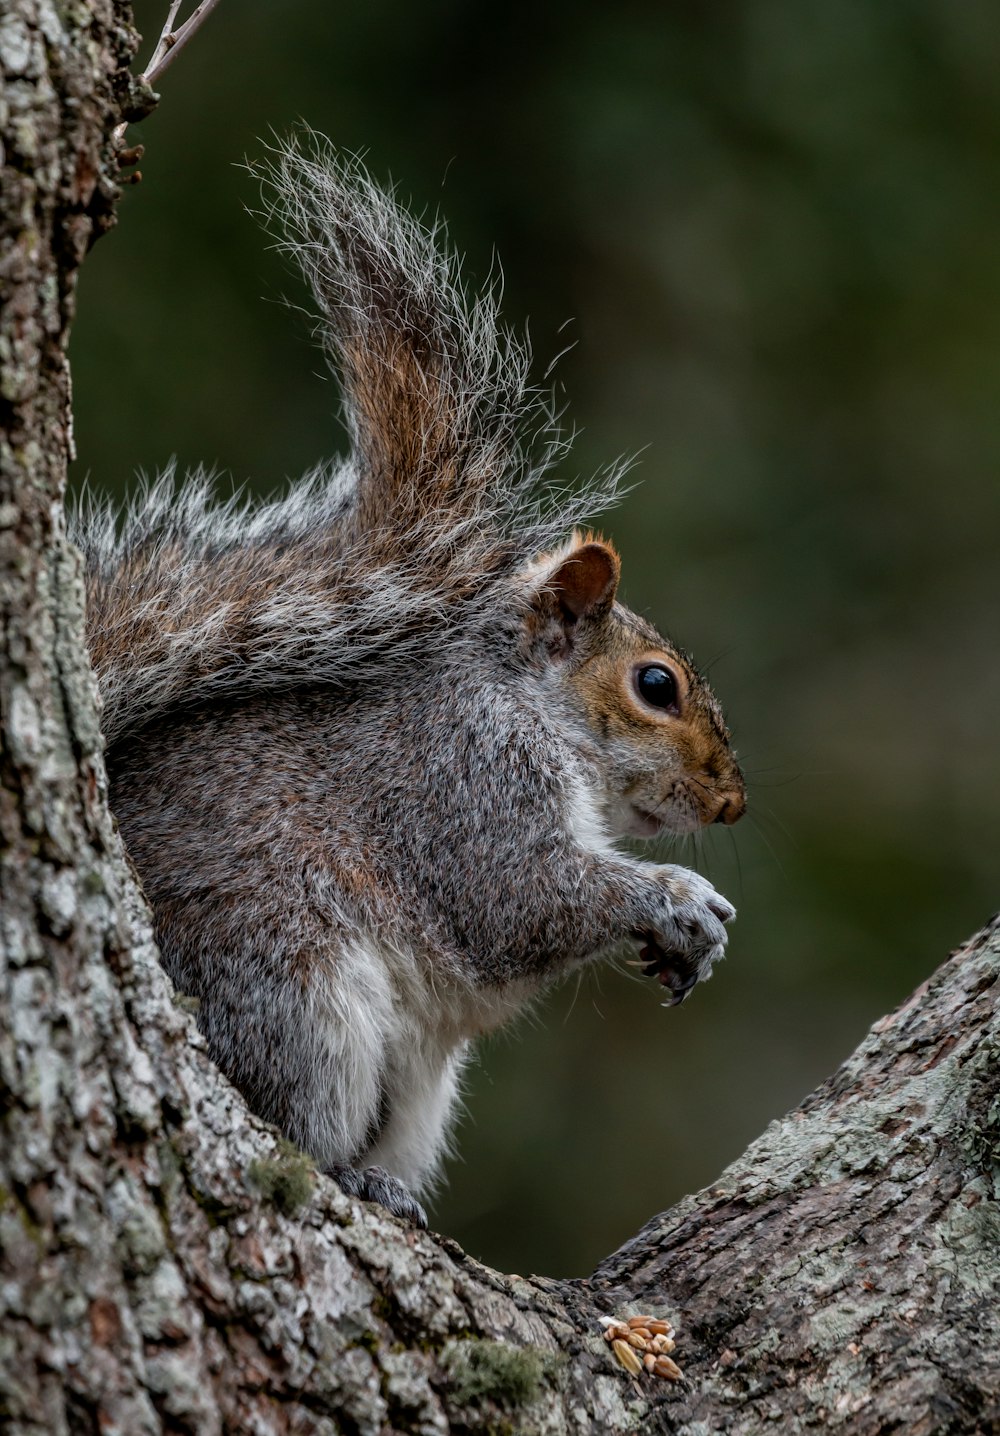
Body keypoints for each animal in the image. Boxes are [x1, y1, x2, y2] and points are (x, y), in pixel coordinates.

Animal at [74, 140, 747, 1229]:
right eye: (657, 685)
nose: (732, 802)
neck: (528, 705)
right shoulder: (462, 774)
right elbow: (518, 894)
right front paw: (678, 897)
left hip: (420, 1083)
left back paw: (384, 1180)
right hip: (292, 988)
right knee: (289, 1110)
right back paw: (338, 1168)